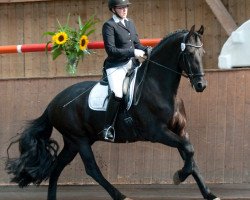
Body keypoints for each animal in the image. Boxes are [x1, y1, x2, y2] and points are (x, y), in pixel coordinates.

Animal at [5, 25, 220, 200]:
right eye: (190, 53)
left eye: (203, 53)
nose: (201, 85)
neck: (159, 88)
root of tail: (52, 104)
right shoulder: (157, 133)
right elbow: (189, 150)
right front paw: (179, 176)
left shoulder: (181, 131)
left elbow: (191, 156)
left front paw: (209, 193)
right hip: (79, 139)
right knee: (91, 169)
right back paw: (121, 196)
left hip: (75, 141)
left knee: (57, 167)